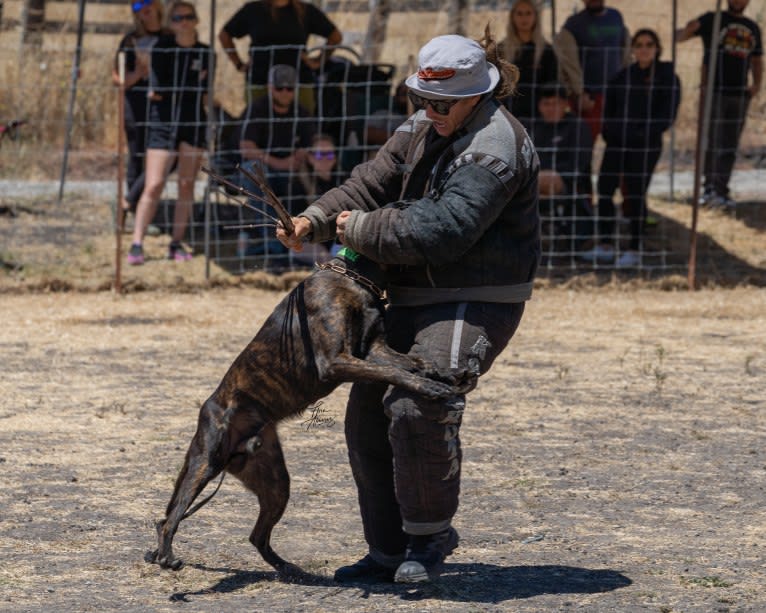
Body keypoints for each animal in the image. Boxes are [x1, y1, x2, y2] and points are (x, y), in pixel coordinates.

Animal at [143, 246, 468, 572]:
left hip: (276, 485)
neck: (354, 277)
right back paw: (167, 556)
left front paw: (443, 374)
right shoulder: (337, 361)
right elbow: (396, 373)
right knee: (169, 519)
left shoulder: (376, 350)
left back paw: (286, 568)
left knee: (255, 535)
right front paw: (429, 387)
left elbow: (414, 363)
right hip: (204, 465)